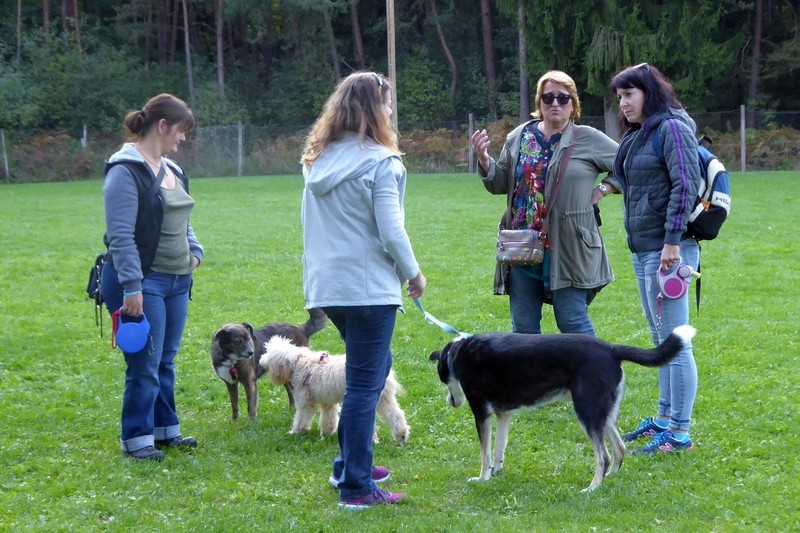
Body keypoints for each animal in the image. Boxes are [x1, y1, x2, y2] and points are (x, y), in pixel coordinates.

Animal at [262, 334, 410, 442]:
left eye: (269, 353)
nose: (261, 360)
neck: (300, 363)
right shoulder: (328, 401)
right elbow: (329, 418)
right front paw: (327, 433)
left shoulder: (306, 402)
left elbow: (302, 418)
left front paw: (296, 432)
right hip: (384, 399)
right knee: (396, 414)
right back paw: (401, 435)